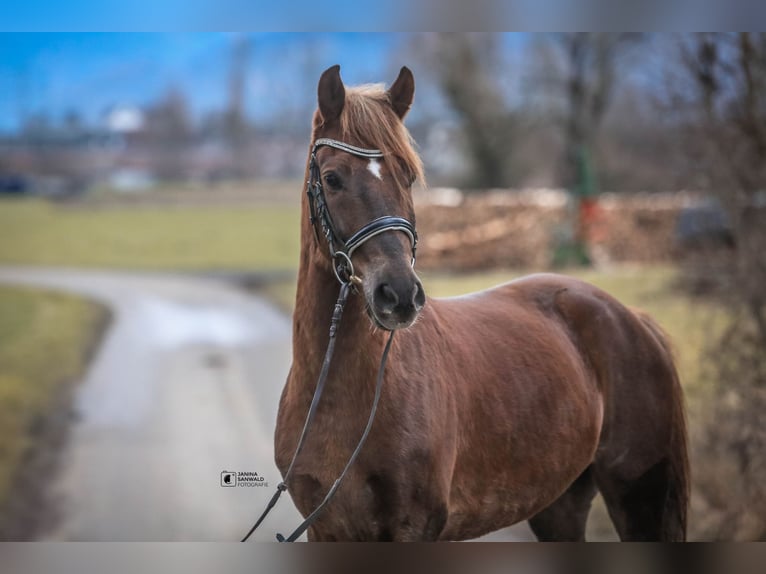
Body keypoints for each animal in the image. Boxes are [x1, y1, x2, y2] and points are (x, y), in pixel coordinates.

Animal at [274, 65, 688, 544]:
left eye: (407, 176)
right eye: (332, 178)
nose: (399, 294)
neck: (341, 396)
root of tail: (629, 317)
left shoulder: (414, 527)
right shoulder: (325, 531)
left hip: (640, 502)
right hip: (559, 505)